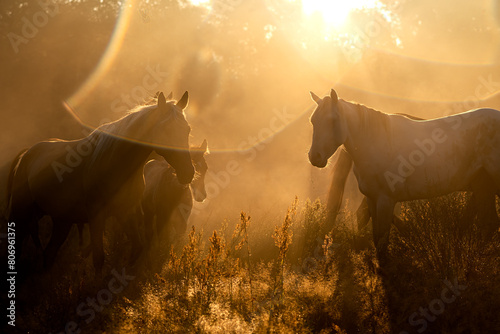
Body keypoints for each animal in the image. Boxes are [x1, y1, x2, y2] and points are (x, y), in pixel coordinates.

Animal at [8, 90, 195, 272]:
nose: (188, 173)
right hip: (22, 215)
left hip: (62, 221)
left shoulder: (126, 212)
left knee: (49, 253)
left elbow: (137, 248)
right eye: (167, 129)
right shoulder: (96, 217)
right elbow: (98, 259)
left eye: (187, 129)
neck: (116, 162)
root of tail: (28, 153)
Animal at [308, 88, 500, 256]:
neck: (377, 141)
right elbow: (376, 237)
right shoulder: (372, 199)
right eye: (313, 121)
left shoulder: (385, 200)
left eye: (333, 120)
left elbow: (382, 241)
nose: (314, 157)